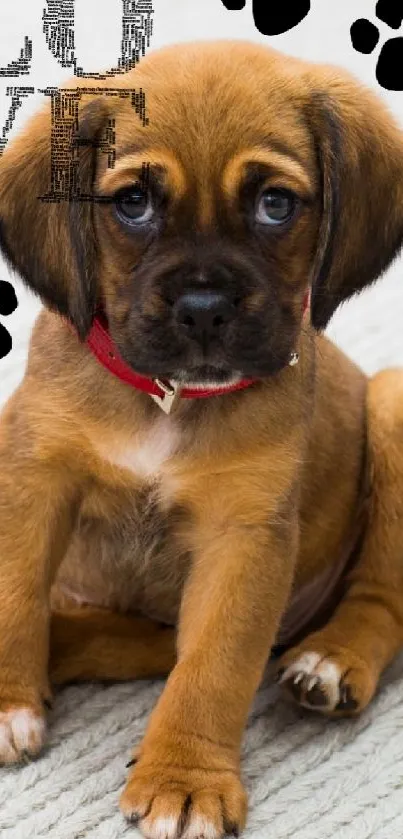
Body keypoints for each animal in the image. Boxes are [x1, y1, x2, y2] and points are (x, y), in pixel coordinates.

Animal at [0, 42, 403, 839]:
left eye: (275, 204)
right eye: (133, 203)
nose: (205, 309)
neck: (167, 401)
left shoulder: (242, 537)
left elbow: (214, 667)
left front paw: (184, 780)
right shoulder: (33, 478)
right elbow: (13, 592)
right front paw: (9, 699)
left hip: (393, 401)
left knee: (380, 598)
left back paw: (332, 657)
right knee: (134, 639)